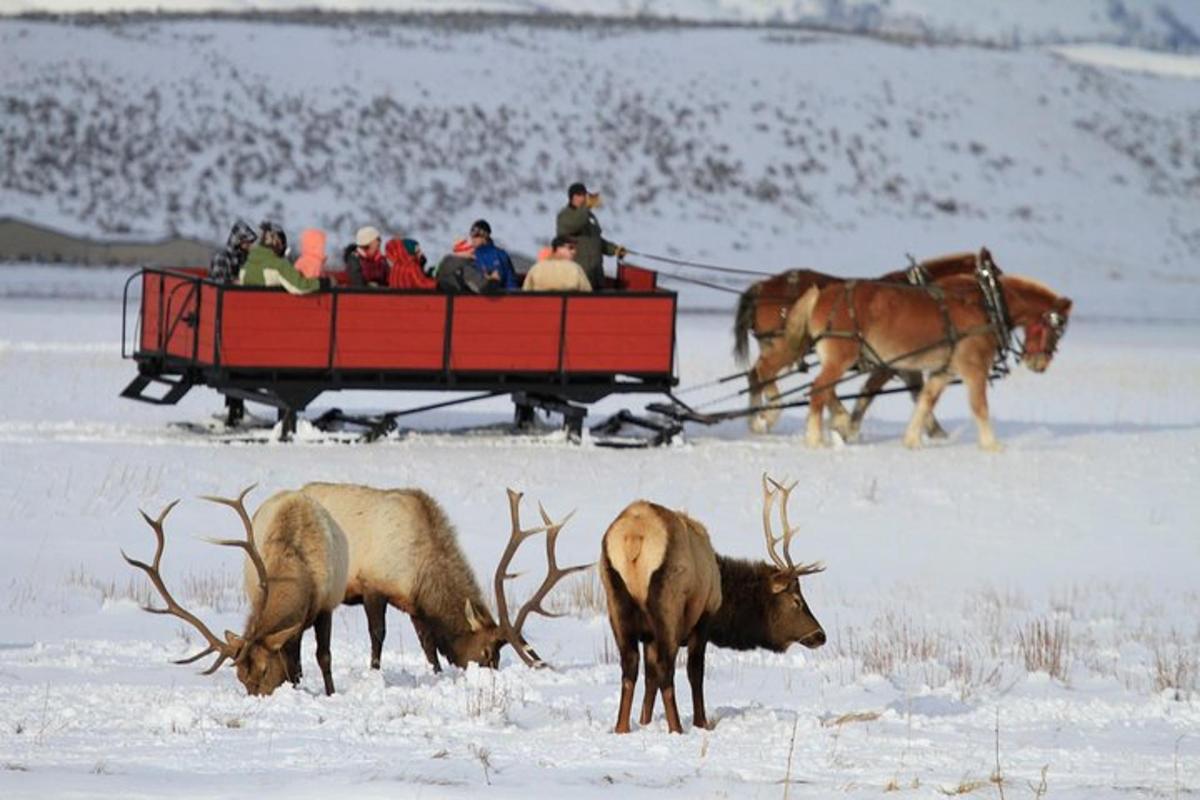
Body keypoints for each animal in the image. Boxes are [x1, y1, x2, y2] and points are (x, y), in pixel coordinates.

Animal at [120, 484, 348, 695]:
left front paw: (330, 693)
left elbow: (323, 657)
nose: (257, 698)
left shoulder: (326, 605)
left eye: (265, 670)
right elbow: (294, 665)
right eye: (240, 677)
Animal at [297, 484, 583, 671]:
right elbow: (378, 634)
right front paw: (375, 671)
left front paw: (437, 672)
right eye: (486, 652)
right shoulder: (373, 585)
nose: (489, 672)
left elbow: (428, 646)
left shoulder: (415, 606)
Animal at [600, 479, 825, 734]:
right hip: (668, 605)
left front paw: (645, 721)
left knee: (630, 666)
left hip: (615, 601)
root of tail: (634, 537)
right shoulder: (704, 618)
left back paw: (622, 728)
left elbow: (650, 679)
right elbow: (694, 672)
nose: (820, 635)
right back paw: (676, 728)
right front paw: (702, 723)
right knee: (666, 669)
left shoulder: (649, 636)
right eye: (796, 600)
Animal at [729, 250, 993, 438]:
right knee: (766, 372)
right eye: (992, 277)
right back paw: (772, 414)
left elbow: (915, 393)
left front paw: (935, 432)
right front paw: (850, 427)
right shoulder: (890, 364)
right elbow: (870, 392)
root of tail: (762, 286)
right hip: (790, 345)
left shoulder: (904, 365)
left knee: (757, 375)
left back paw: (756, 419)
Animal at [782, 273, 1075, 450]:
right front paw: (991, 445)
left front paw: (912, 440)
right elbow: (979, 407)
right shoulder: (974, 369)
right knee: (818, 390)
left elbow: (925, 401)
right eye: (1057, 327)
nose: (1040, 365)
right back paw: (815, 438)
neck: (987, 305)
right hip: (841, 357)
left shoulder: (943, 372)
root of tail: (821, 294)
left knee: (827, 391)